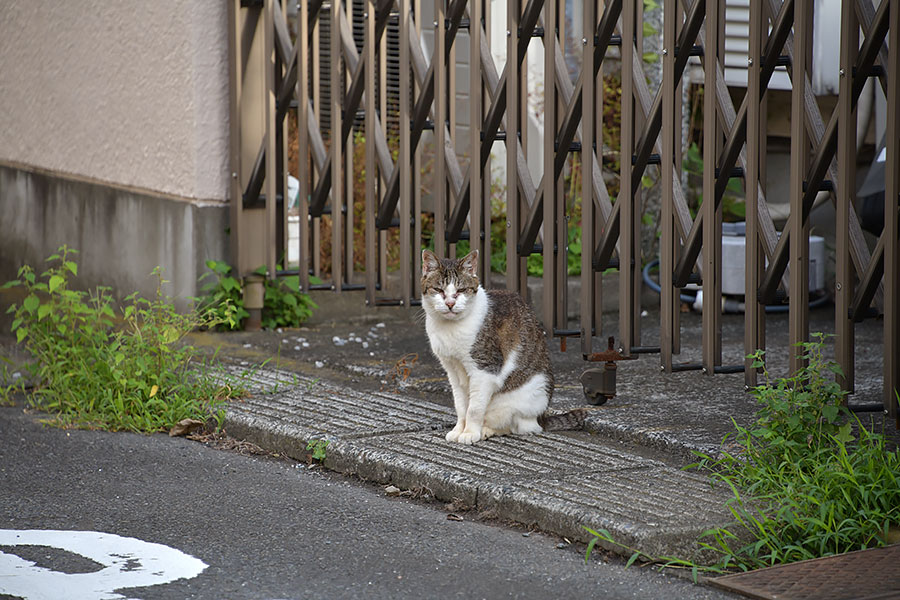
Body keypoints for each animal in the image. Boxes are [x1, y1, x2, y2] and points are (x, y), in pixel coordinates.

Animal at [422, 250, 584, 446]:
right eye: (439, 290)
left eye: (461, 290)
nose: (450, 304)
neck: (450, 329)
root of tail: (542, 417)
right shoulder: (452, 370)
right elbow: (460, 406)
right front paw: (458, 430)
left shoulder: (484, 369)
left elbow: (474, 409)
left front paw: (470, 432)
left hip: (519, 400)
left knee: (516, 426)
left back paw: (486, 430)